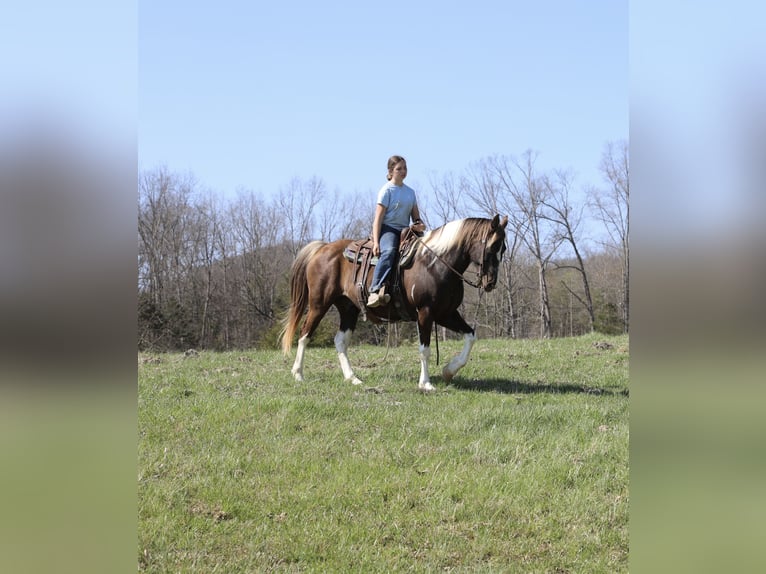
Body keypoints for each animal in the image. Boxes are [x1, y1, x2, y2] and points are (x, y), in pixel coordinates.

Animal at [280, 214, 509, 391]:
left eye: (503, 248)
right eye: (492, 246)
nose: (491, 282)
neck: (435, 264)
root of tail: (323, 248)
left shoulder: (446, 314)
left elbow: (471, 336)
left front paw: (448, 371)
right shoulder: (425, 313)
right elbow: (424, 349)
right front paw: (425, 383)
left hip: (348, 308)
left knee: (340, 341)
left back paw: (353, 378)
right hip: (319, 304)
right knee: (305, 334)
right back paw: (298, 374)